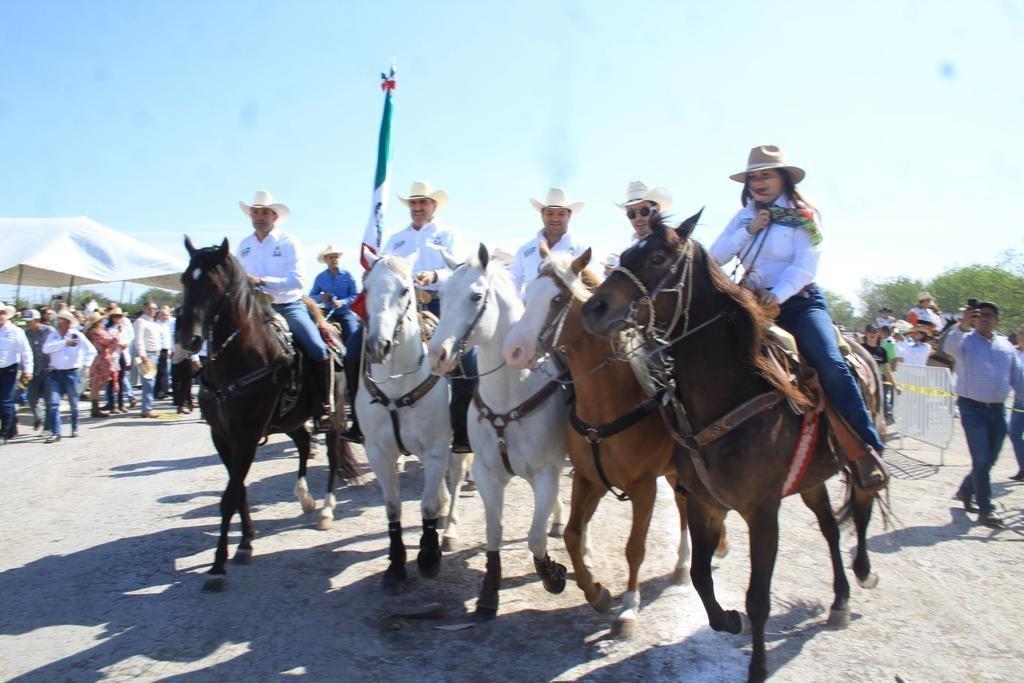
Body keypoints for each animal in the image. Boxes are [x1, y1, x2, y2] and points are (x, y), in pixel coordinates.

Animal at [179, 237, 360, 589]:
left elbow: (230, 495)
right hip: (290, 419)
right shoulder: (221, 437)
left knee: (332, 456)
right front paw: (246, 541)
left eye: (214, 285)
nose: (187, 339)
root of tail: (332, 334)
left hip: (332, 417)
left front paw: (218, 566)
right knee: (303, 444)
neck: (236, 361)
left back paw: (326, 511)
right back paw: (304, 497)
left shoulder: (247, 435)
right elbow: (238, 490)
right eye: (184, 280)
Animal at [360, 250, 471, 593]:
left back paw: (450, 531)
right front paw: (395, 566)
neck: (397, 388)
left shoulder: (437, 449)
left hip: (457, 447)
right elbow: (393, 507)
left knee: (455, 481)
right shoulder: (378, 453)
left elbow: (428, 505)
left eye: (404, 290)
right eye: (366, 287)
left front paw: (429, 557)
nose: (377, 346)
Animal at [423, 244, 569, 618]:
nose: (437, 355)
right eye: (442, 295)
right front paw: (489, 592)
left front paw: (552, 575)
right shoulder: (489, 473)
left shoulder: (546, 471)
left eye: (476, 296)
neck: (510, 393)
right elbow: (493, 531)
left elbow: (535, 537)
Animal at [581, 214, 884, 683]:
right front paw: (728, 619)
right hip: (810, 480)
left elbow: (758, 597)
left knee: (864, 500)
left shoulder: (762, 513)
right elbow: (701, 576)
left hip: (855, 457)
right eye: (628, 252)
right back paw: (839, 600)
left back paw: (864, 573)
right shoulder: (705, 502)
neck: (727, 395)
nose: (593, 308)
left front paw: (757, 666)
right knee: (831, 528)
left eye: (658, 257)